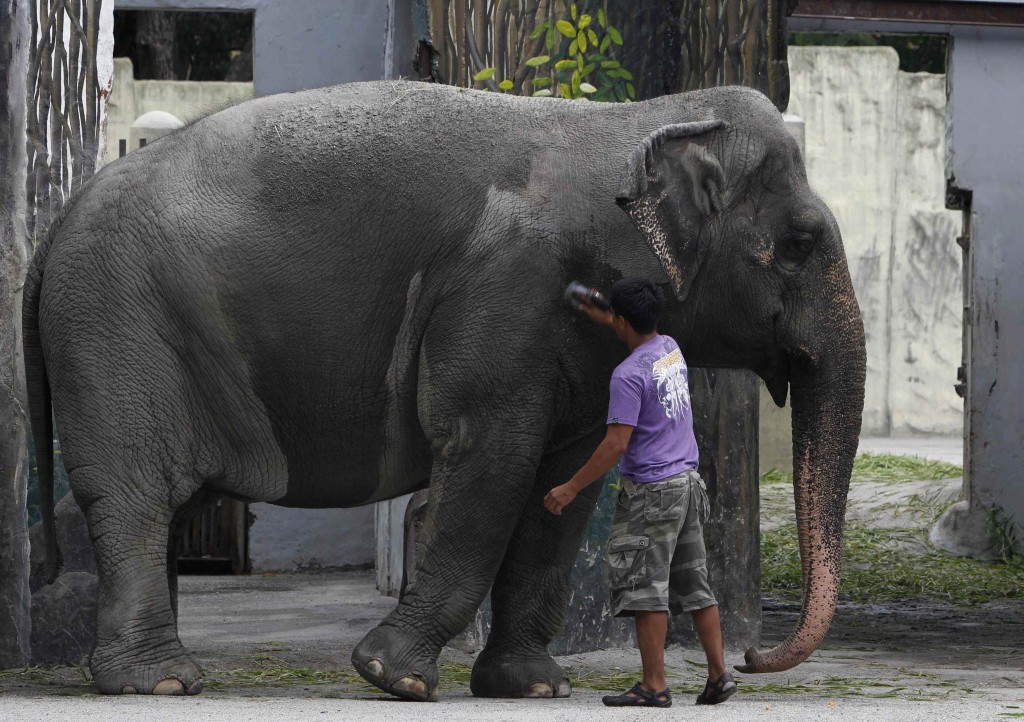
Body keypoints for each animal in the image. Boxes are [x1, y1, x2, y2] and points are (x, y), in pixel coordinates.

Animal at [24, 78, 864, 696]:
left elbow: (564, 483)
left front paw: (533, 688)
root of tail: (57, 222)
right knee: (137, 495)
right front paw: (394, 678)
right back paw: (161, 683)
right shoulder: (506, 289)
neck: (636, 120)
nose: (754, 661)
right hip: (115, 328)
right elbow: (490, 456)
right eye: (799, 244)